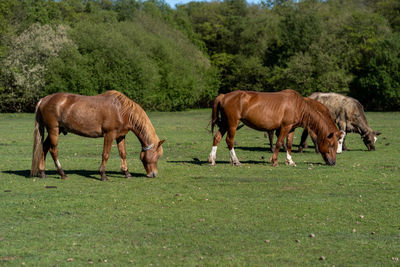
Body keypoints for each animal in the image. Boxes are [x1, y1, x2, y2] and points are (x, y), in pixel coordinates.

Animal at [30, 91, 166, 181]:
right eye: (157, 156)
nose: (153, 174)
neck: (121, 110)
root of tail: (44, 99)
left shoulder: (120, 136)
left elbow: (123, 154)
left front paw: (126, 173)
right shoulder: (109, 134)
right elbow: (105, 154)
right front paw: (103, 174)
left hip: (55, 131)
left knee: (44, 147)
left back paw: (42, 172)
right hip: (53, 130)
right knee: (53, 150)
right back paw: (62, 173)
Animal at [209, 90, 344, 168]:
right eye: (331, 145)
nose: (333, 163)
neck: (298, 105)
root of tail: (223, 96)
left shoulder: (291, 129)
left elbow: (289, 145)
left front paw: (290, 161)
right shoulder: (285, 127)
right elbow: (279, 143)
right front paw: (274, 161)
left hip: (225, 124)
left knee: (217, 138)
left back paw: (212, 159)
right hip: (232, 124)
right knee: (229, 141)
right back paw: (235, 161)